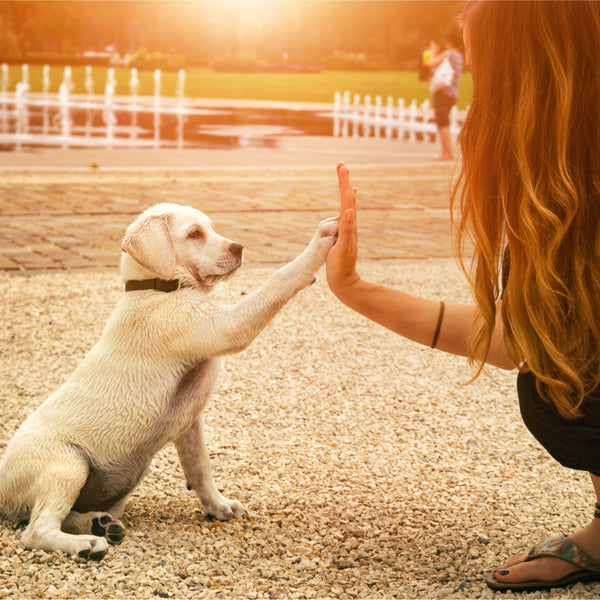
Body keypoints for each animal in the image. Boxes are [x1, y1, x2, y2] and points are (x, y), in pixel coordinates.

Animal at [0, 204, 338, 560]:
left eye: (210, 228)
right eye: (194, 234)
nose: (239, 248)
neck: (155, 287)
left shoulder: (190, 422)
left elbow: (200, 468)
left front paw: (217, 506)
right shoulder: (225, 326)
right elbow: (279, 279)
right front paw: (320, 242)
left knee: (60, 516)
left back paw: (99, 524)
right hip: (67, 464)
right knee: (35, 531)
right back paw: (86, 544)